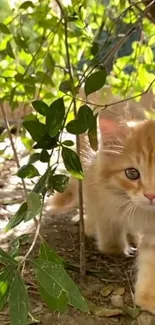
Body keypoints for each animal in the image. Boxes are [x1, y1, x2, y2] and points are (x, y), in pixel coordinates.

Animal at [51, 114, 155, 314]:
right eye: (132, 173)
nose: (151, 195)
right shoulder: (101, 194)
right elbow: (109, 234)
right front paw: (117, 248)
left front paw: (148, 296)